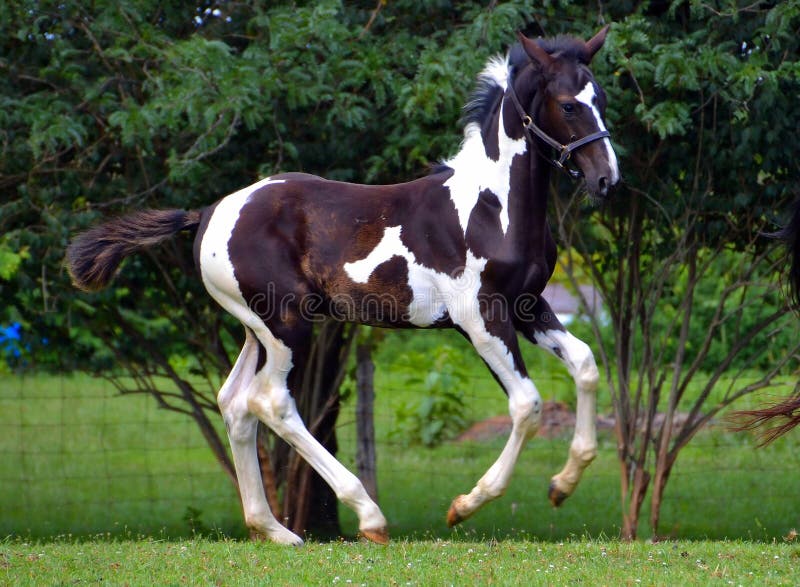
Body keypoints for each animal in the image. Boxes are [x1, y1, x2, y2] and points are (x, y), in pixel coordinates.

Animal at [67, 25, 620, 544]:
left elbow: (586, 365)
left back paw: (274, 530)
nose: (606, 181)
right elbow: (526, 404)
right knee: (271, 402)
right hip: (288, 323)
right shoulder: (479, 317)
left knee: (234, 402)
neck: (490, 206)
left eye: (601, 97)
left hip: (257, 328)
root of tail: (207, 214)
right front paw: (466, 505)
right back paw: (367, 515)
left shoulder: (527, 305)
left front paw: (563, 484)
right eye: (568, 105)